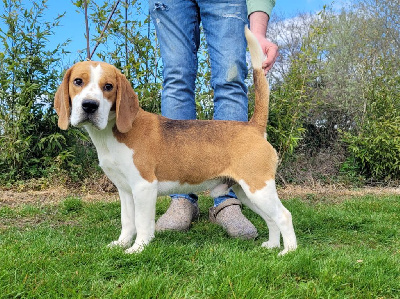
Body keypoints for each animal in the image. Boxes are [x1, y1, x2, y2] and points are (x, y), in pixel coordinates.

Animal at [54, 28, 296, 256]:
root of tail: (253, 126)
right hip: (246, 192)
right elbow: (128, 221)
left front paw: (138, 248)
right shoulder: (125, 190)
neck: (110, 134)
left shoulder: (143, 187)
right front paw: (121, 244)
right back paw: (272, 245)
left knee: (284, 215)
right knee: (271, 219)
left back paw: (289, 252)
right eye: (78, 81)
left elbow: (142, 223)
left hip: (258, 188)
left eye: (108, 87)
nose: (89, 105)